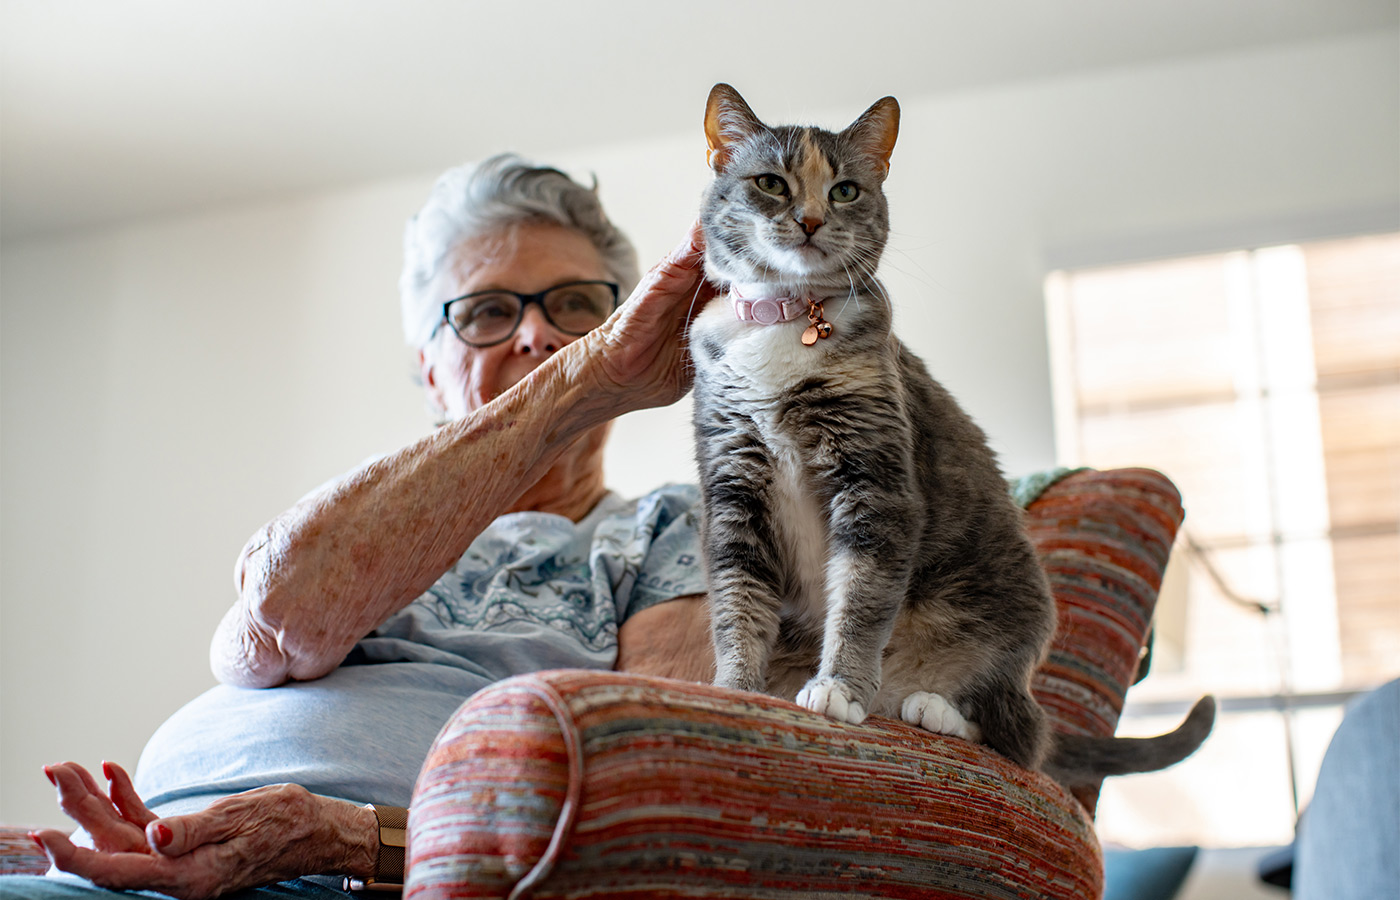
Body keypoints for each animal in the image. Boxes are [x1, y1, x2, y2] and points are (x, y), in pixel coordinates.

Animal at [683, 86, 1209, 789]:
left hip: (1006, 627)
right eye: (771, 182)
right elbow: (738, 600)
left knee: (1022, 735)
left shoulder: (874, 475)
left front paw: (839, 689)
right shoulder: (733, 481)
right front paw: (737, 689)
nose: (813, 219)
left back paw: (930, 709)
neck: (787, 320)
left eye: (845, 190)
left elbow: (862, 593)